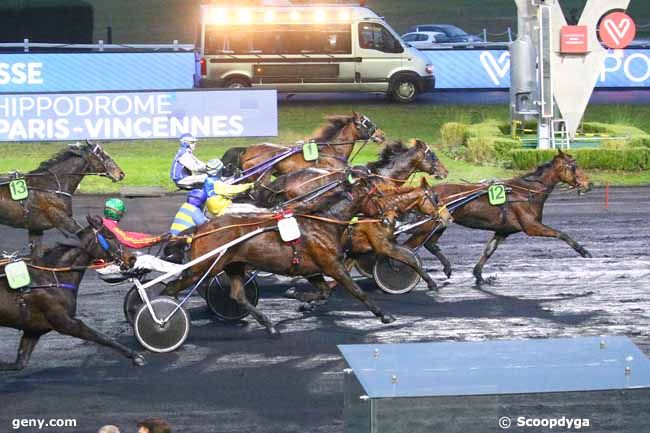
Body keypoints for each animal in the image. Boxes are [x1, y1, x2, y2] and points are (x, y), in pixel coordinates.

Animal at [402, 150, 588, 286]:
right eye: (574, 166)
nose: (589, 183)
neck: (527, 192)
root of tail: (423, 192)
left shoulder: (503, 230)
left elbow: (489, 250)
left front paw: (479, 275)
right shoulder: (531, 226)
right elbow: (561, 234)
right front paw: (583, 251)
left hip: (440, 224)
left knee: (430, 244)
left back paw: (446, 268)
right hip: (427, 225)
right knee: (407, 249)